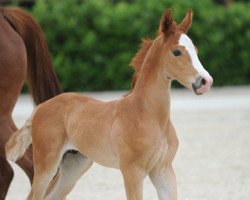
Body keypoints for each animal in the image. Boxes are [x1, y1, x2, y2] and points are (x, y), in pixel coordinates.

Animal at [6, 9, 213, 200]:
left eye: (195, 50)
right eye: (176, 52)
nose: (205, 81)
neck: (148, 114)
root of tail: (40, 108)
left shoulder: (164, 171)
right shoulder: (132, 171)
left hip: (73, 166)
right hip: (46, 164)